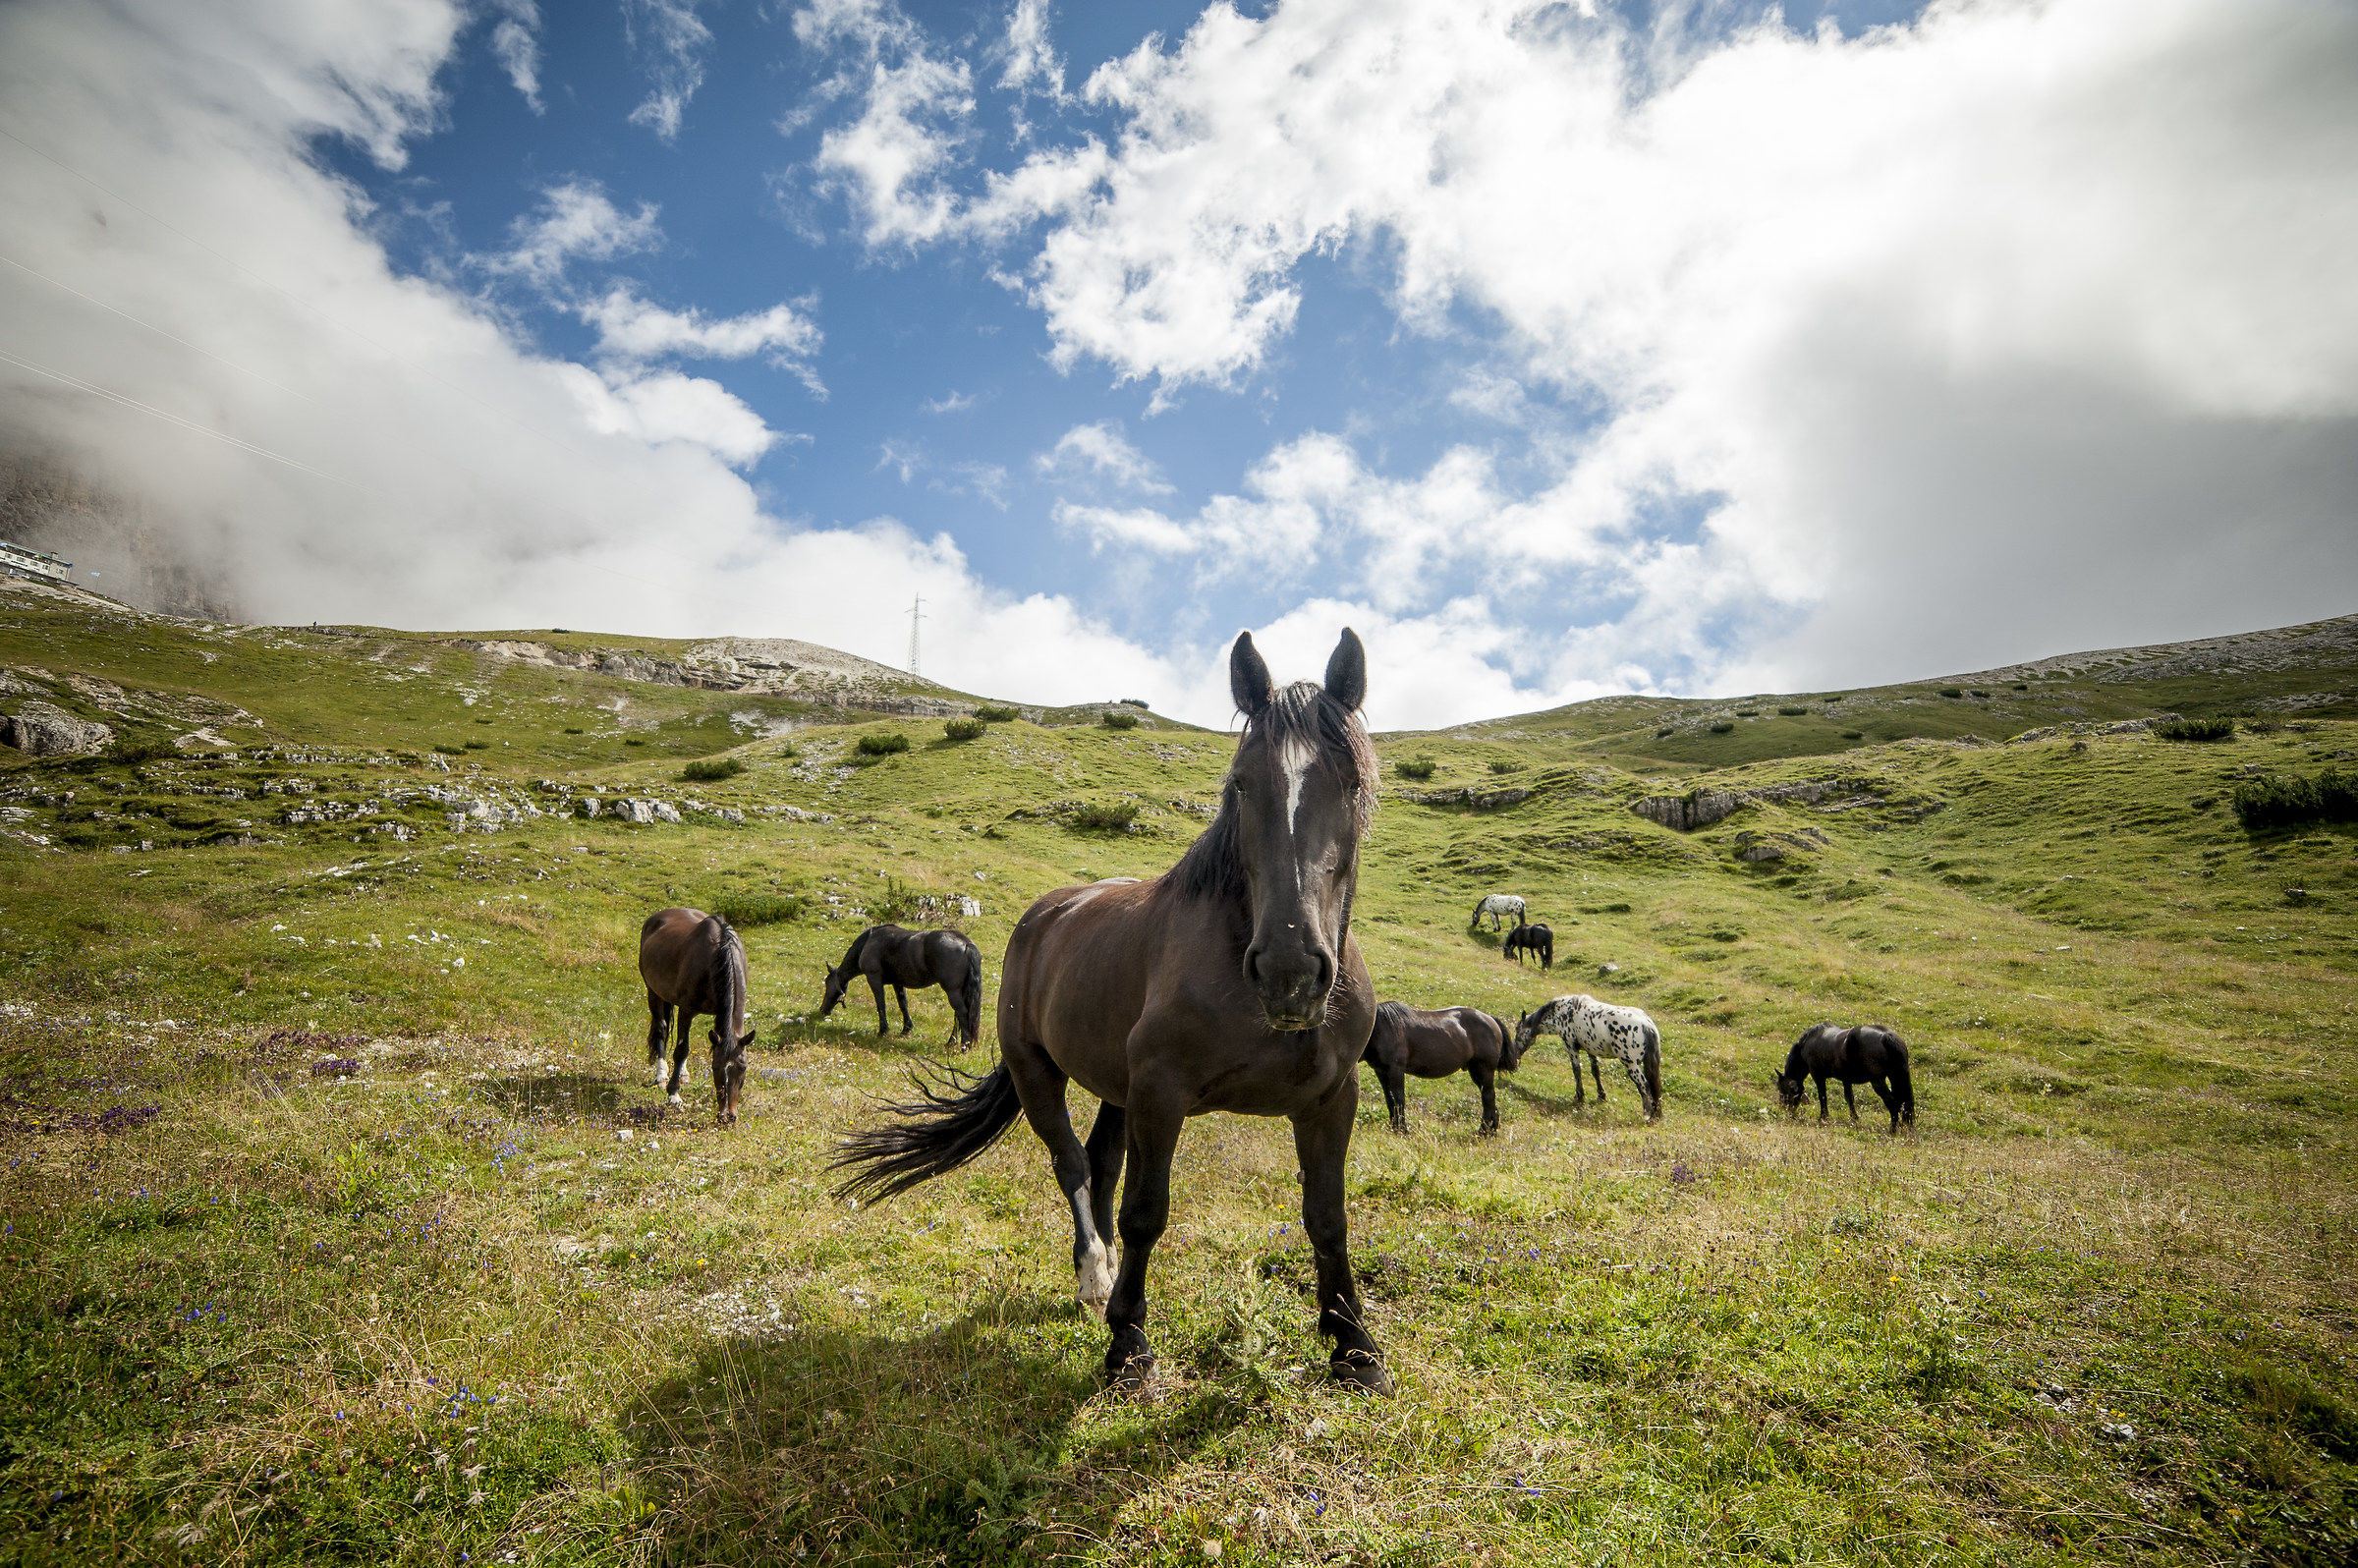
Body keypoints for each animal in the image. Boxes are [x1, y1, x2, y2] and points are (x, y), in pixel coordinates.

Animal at [637, 908, 754, 1123]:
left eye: (743, 1068)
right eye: (715, 1068)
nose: (728, 1116)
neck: (718, 954)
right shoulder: (687, 1011)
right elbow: (681, 1049)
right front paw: (673, 1094)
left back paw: (682, 1073)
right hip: (653, 992)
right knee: (661, 1029)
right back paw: (661, 1075)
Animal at [821, 924, 985, 1047]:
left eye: (827, 984)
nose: (822, 1010)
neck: (868, 941)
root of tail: (966, 943)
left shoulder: (874, 979)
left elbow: (881, 1004)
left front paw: (883, 1031)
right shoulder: (897, 982)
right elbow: (903, 1004)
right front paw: (906, 1029)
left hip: (952, 991)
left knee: (961, 1012)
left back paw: (964, 1045)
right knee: (958, 1015)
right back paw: (951, 1042)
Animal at [1362, 1002, 1524, 1135]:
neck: (1380, 1028)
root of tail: (1490, 1019)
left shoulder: (1395, 1071)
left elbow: (1398, 1100)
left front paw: (1402, 1130)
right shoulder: (1381, 1072)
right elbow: (1390, 1100)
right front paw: (1394, 1127)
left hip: (1485, 1070)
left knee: (1488, 1098)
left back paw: (1484, 1131)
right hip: (1476, 1072)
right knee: (1489, 1099)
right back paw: (1491, 1129)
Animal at [1514, 994, 1663, 1119]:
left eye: (1517, 1030)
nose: (1515, 1056)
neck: (1562, 1012)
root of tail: (1647, 1025)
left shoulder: (1571, 1046)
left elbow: (1576, 1071)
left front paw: (1579, 1097)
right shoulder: (1590, 1049)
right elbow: (1595, 1071)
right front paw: (1601, 1096)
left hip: (1631, 1064)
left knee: (1644, 1086)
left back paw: (1647, 1114)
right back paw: (1657, 1114)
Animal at [1773, 1023, 1915, 1134]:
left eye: (1783, 1090)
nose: (1785, 1110)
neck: (1809, 1042)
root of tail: (1886, 1036)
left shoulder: (1818, 1076)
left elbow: (1822, 1096)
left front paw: (1823, 1118)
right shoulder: (1846, 1080)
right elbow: (1849, 1098)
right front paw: (1854, 1119)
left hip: (1878, 1081)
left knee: (1893, 1103)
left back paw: (1892, 1130)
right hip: (1896, 1076)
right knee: (1905, 1103)